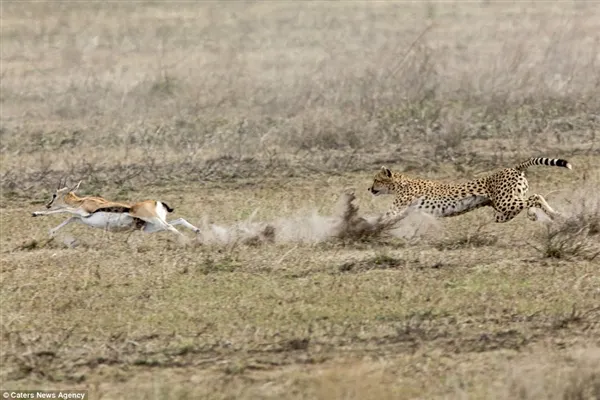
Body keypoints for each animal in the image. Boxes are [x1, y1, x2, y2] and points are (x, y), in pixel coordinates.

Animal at [370, 157, 572, 225]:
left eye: (376, 180)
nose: (369, 188)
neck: (401, 183)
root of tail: (513, 168)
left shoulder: (398, 207)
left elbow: (383, 216)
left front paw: (368, 224)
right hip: (502, 212)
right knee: (528, 201)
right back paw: (535, 215)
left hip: (505, 204)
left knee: (536, 197)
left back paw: (557, 215)